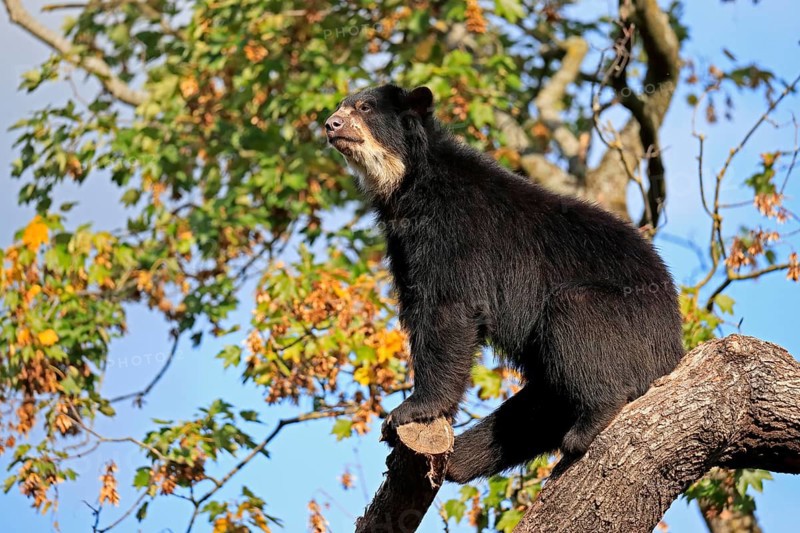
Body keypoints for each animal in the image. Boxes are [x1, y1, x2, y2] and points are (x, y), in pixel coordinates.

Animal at [325, 84, 684, 483]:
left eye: (364, 108)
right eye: (341, 106)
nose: (330, 124)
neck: (409, 187)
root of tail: (675, 343)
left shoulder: (457, 233)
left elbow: (450, 310)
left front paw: (410, 410)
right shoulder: (403, 247)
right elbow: (418, 309)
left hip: (625, 322)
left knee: (577, 321)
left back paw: (590, 423)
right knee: (532, 411)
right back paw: (462, 458)